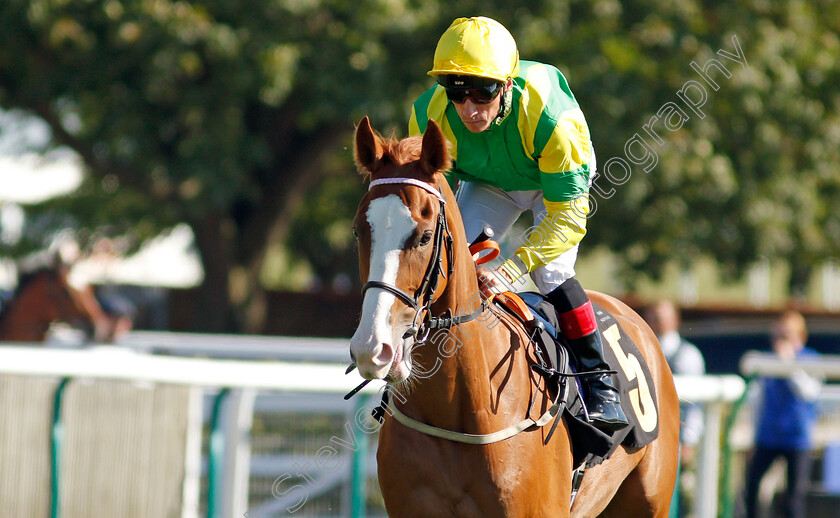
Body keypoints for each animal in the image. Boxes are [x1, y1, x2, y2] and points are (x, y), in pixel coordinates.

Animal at [348, 118, 684, 518]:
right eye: (358, 230)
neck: (456, 410)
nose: (372, 348)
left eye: (425, 236)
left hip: (648, 502)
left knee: (555, 274)